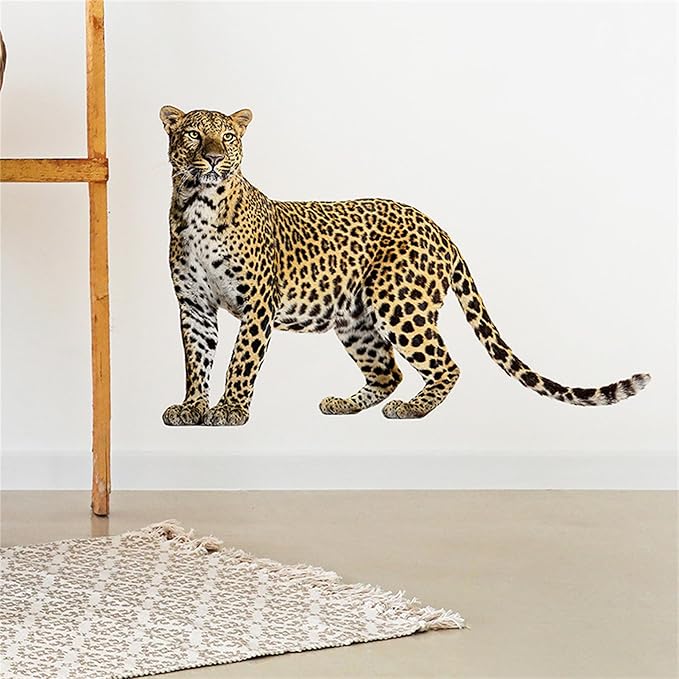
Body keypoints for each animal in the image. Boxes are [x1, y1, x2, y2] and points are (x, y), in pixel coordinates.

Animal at [159, 105, 650, 427]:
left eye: (228, 137)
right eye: (193, 134)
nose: (213, 158)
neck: (198, 204)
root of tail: (440, 228)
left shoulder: (259, 301)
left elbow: (241, 359)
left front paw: (229, 410)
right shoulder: (194, 306)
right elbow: (197, 359)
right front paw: (192, 407)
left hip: (399, 304)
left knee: (446, 366)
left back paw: (411, 409)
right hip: (357, 319)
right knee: (388, 371)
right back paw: (344, 404)